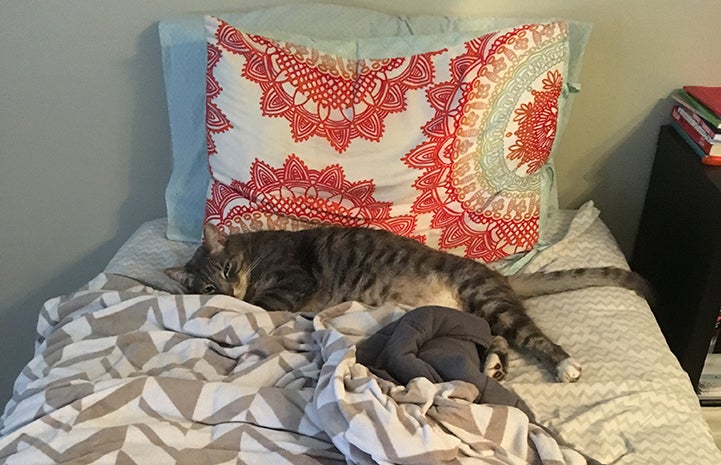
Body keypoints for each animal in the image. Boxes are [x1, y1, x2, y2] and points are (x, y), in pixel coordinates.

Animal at [166, 223, 648, 382]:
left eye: (228, 270)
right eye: (206, 289)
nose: (227, 293)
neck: (253, 251)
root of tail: (497, 274)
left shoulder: (293, 280)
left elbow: (265, 302)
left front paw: (249, 304)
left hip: (487, 299)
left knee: (530, 335)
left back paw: (565, 365)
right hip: (473, 314)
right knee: (497, 339)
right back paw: (493, 366)